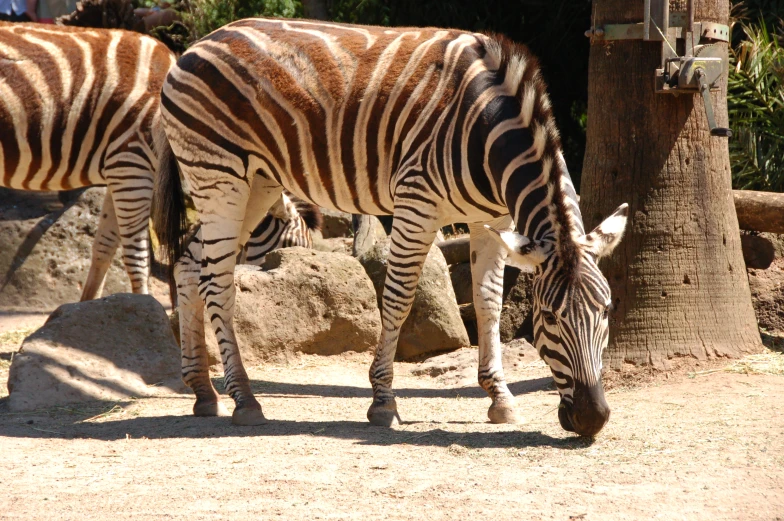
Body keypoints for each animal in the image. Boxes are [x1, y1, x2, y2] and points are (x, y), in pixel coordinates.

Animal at [0, 22, 175, 300]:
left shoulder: (122, 168)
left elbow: (104, 246)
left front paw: (87, 308)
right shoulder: (131, 162)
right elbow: (136, 257)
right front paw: (146, 309)